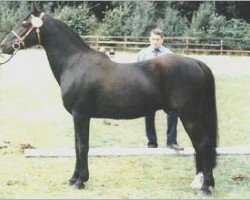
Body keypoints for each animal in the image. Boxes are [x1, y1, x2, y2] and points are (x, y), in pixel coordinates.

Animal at [0, 7, 218, 195]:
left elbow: (82, 146)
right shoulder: (78, 117)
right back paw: (201, 182)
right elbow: (77, 146)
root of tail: (197, 63)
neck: (75, 62)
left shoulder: (81, 115)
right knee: (201, 145)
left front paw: (80, 181)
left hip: (189, 116)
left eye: (24, 24)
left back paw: (205, 187)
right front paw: (73, 178)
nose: (4, 45)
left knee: (203, 144)